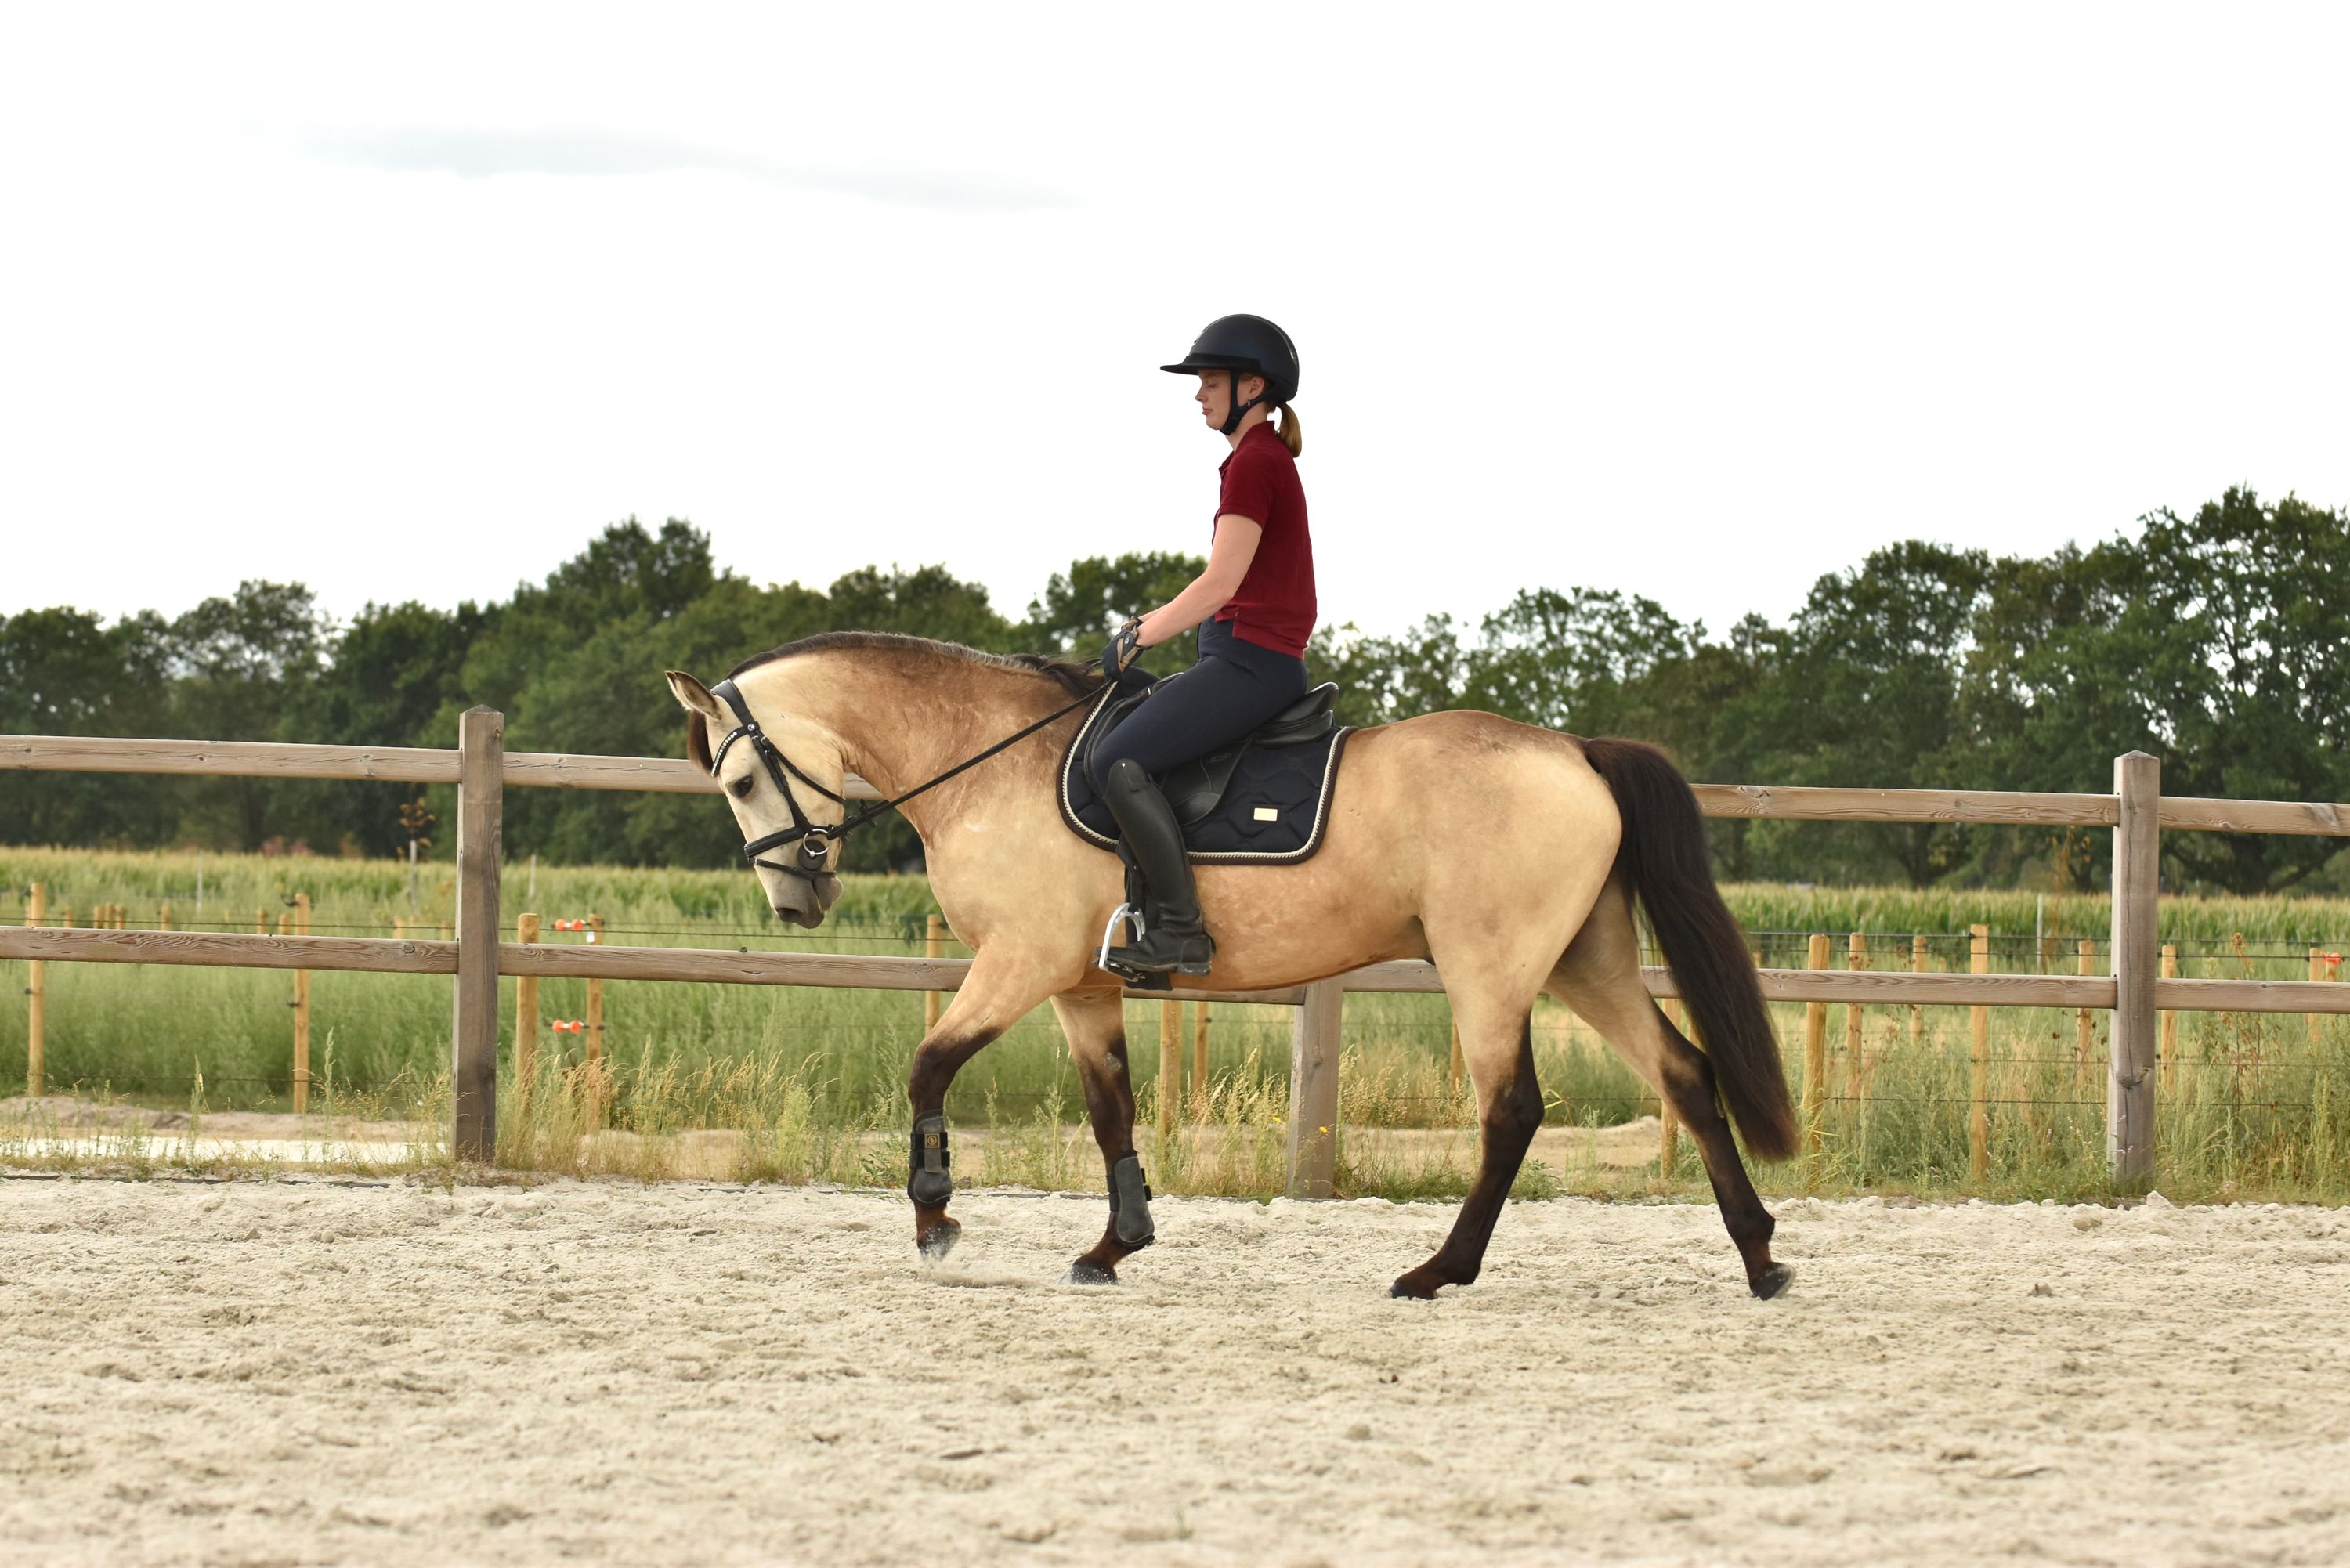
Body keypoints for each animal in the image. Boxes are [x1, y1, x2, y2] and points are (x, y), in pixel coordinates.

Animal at [665, 632, 1799, 1299]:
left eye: (739, 778)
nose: (796, 901)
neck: (993, 763)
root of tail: (1575, 751)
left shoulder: (1020, 961)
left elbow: (928, 1065)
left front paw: (936, 1213)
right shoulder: (1081, 985)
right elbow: (1110, 1108)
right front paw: (1116, 1244)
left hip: (1490, 972)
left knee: (1513, 1110)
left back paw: (1440, 1269)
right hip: (1583, 963)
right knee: (1686, 1074)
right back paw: (1760, 1256)